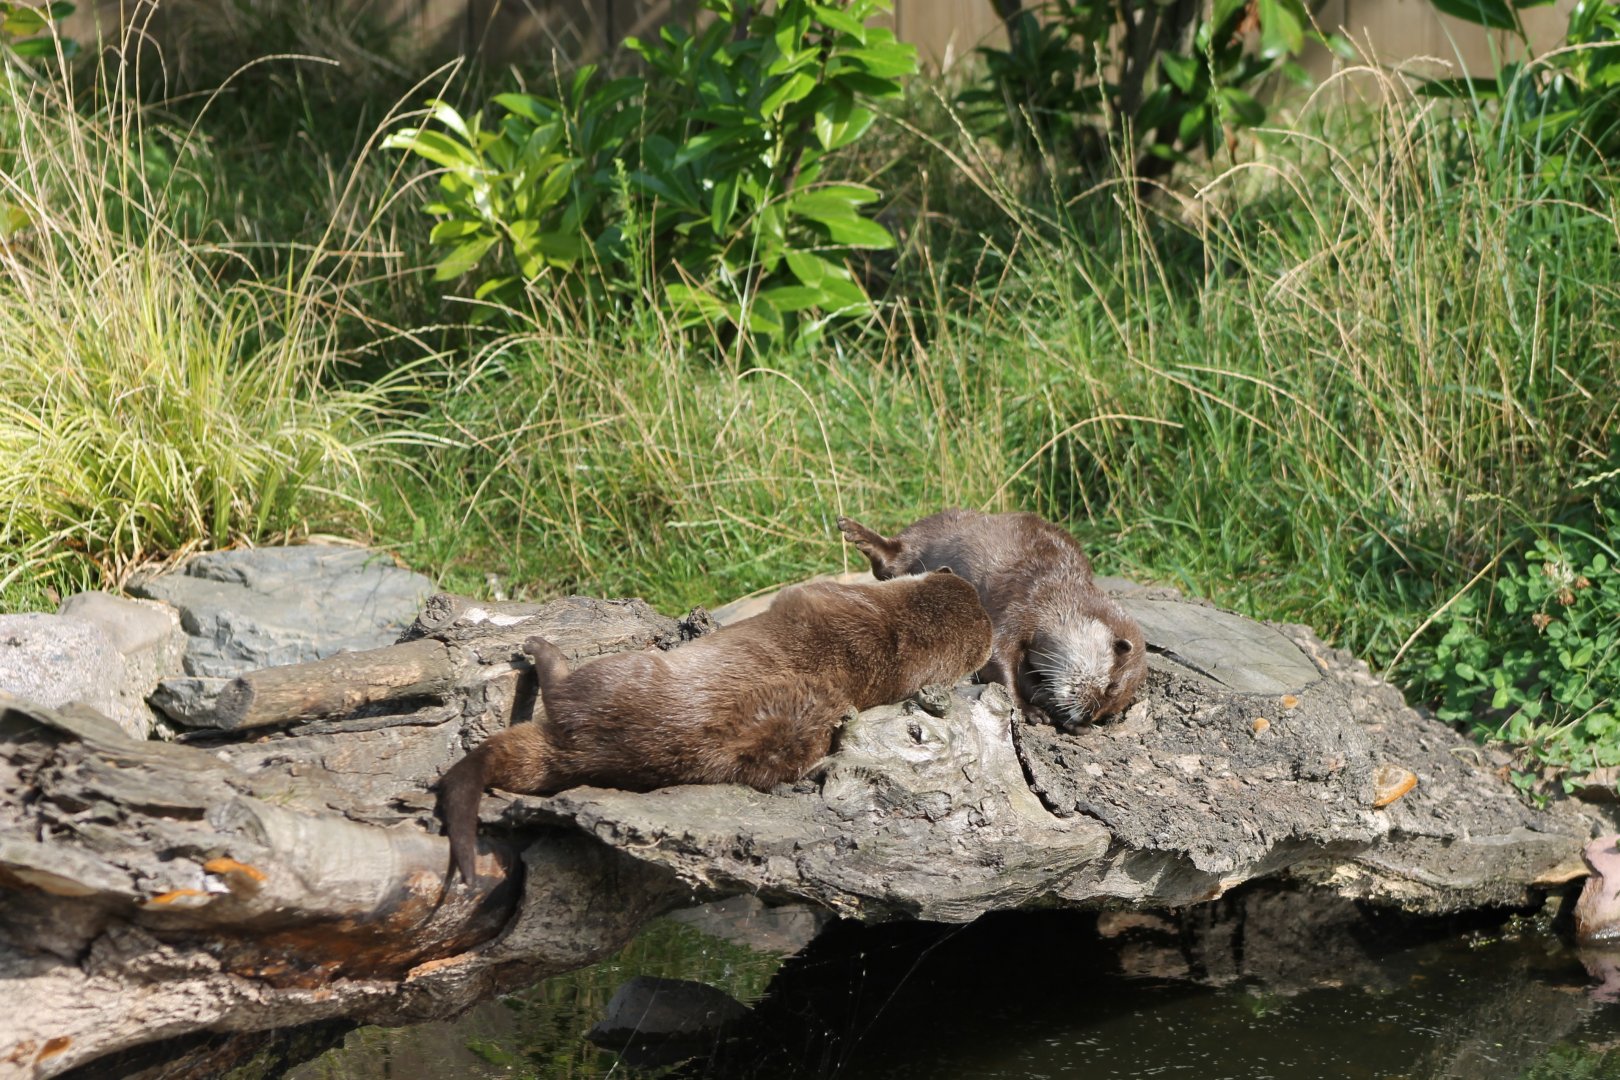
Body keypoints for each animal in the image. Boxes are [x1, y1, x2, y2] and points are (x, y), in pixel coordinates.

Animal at [837, 509, 1146, 731]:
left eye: (1109, 712)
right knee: (892, 558)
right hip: (933, 528)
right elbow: (997, 658)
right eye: (1111, 688)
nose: (1085, 722)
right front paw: (1028, 710)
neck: (1057, 602)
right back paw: (855, 531)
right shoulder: (1022, 603)